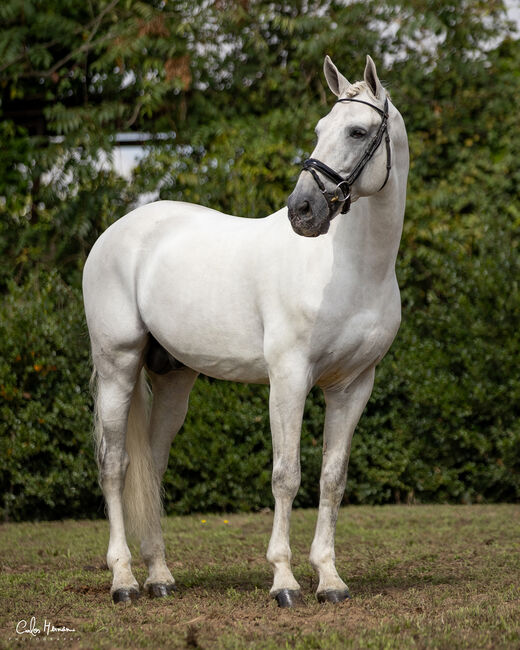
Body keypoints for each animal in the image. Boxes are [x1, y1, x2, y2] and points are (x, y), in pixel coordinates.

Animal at [82, 54, 406, 604]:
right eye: (320, 129)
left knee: (153, 466)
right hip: (117, 367)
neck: (352, 268)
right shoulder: (289, 378)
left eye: (358, 131)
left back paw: (160, 576)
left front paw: (330, 579)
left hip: (173, 378)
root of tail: (118, 233)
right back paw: (123, 579)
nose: (303, 211)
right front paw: (284, 581)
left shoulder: (353, 386)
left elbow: (332, 478)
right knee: (115, 464)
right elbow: (286, 475)